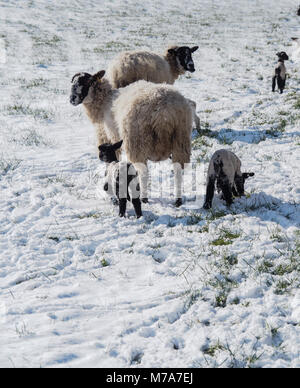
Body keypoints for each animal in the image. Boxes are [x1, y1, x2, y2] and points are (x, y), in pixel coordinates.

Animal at [70, 71, 192, 208]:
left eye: (87, 82)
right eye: (72, 82)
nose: (72, 99)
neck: (105, 102)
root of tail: (164, 113)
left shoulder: (113, 137)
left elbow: (111, 161)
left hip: (137, 142)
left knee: (143, 173)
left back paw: (144, 198)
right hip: (180, 140)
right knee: (178, 171)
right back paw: (178, 200)